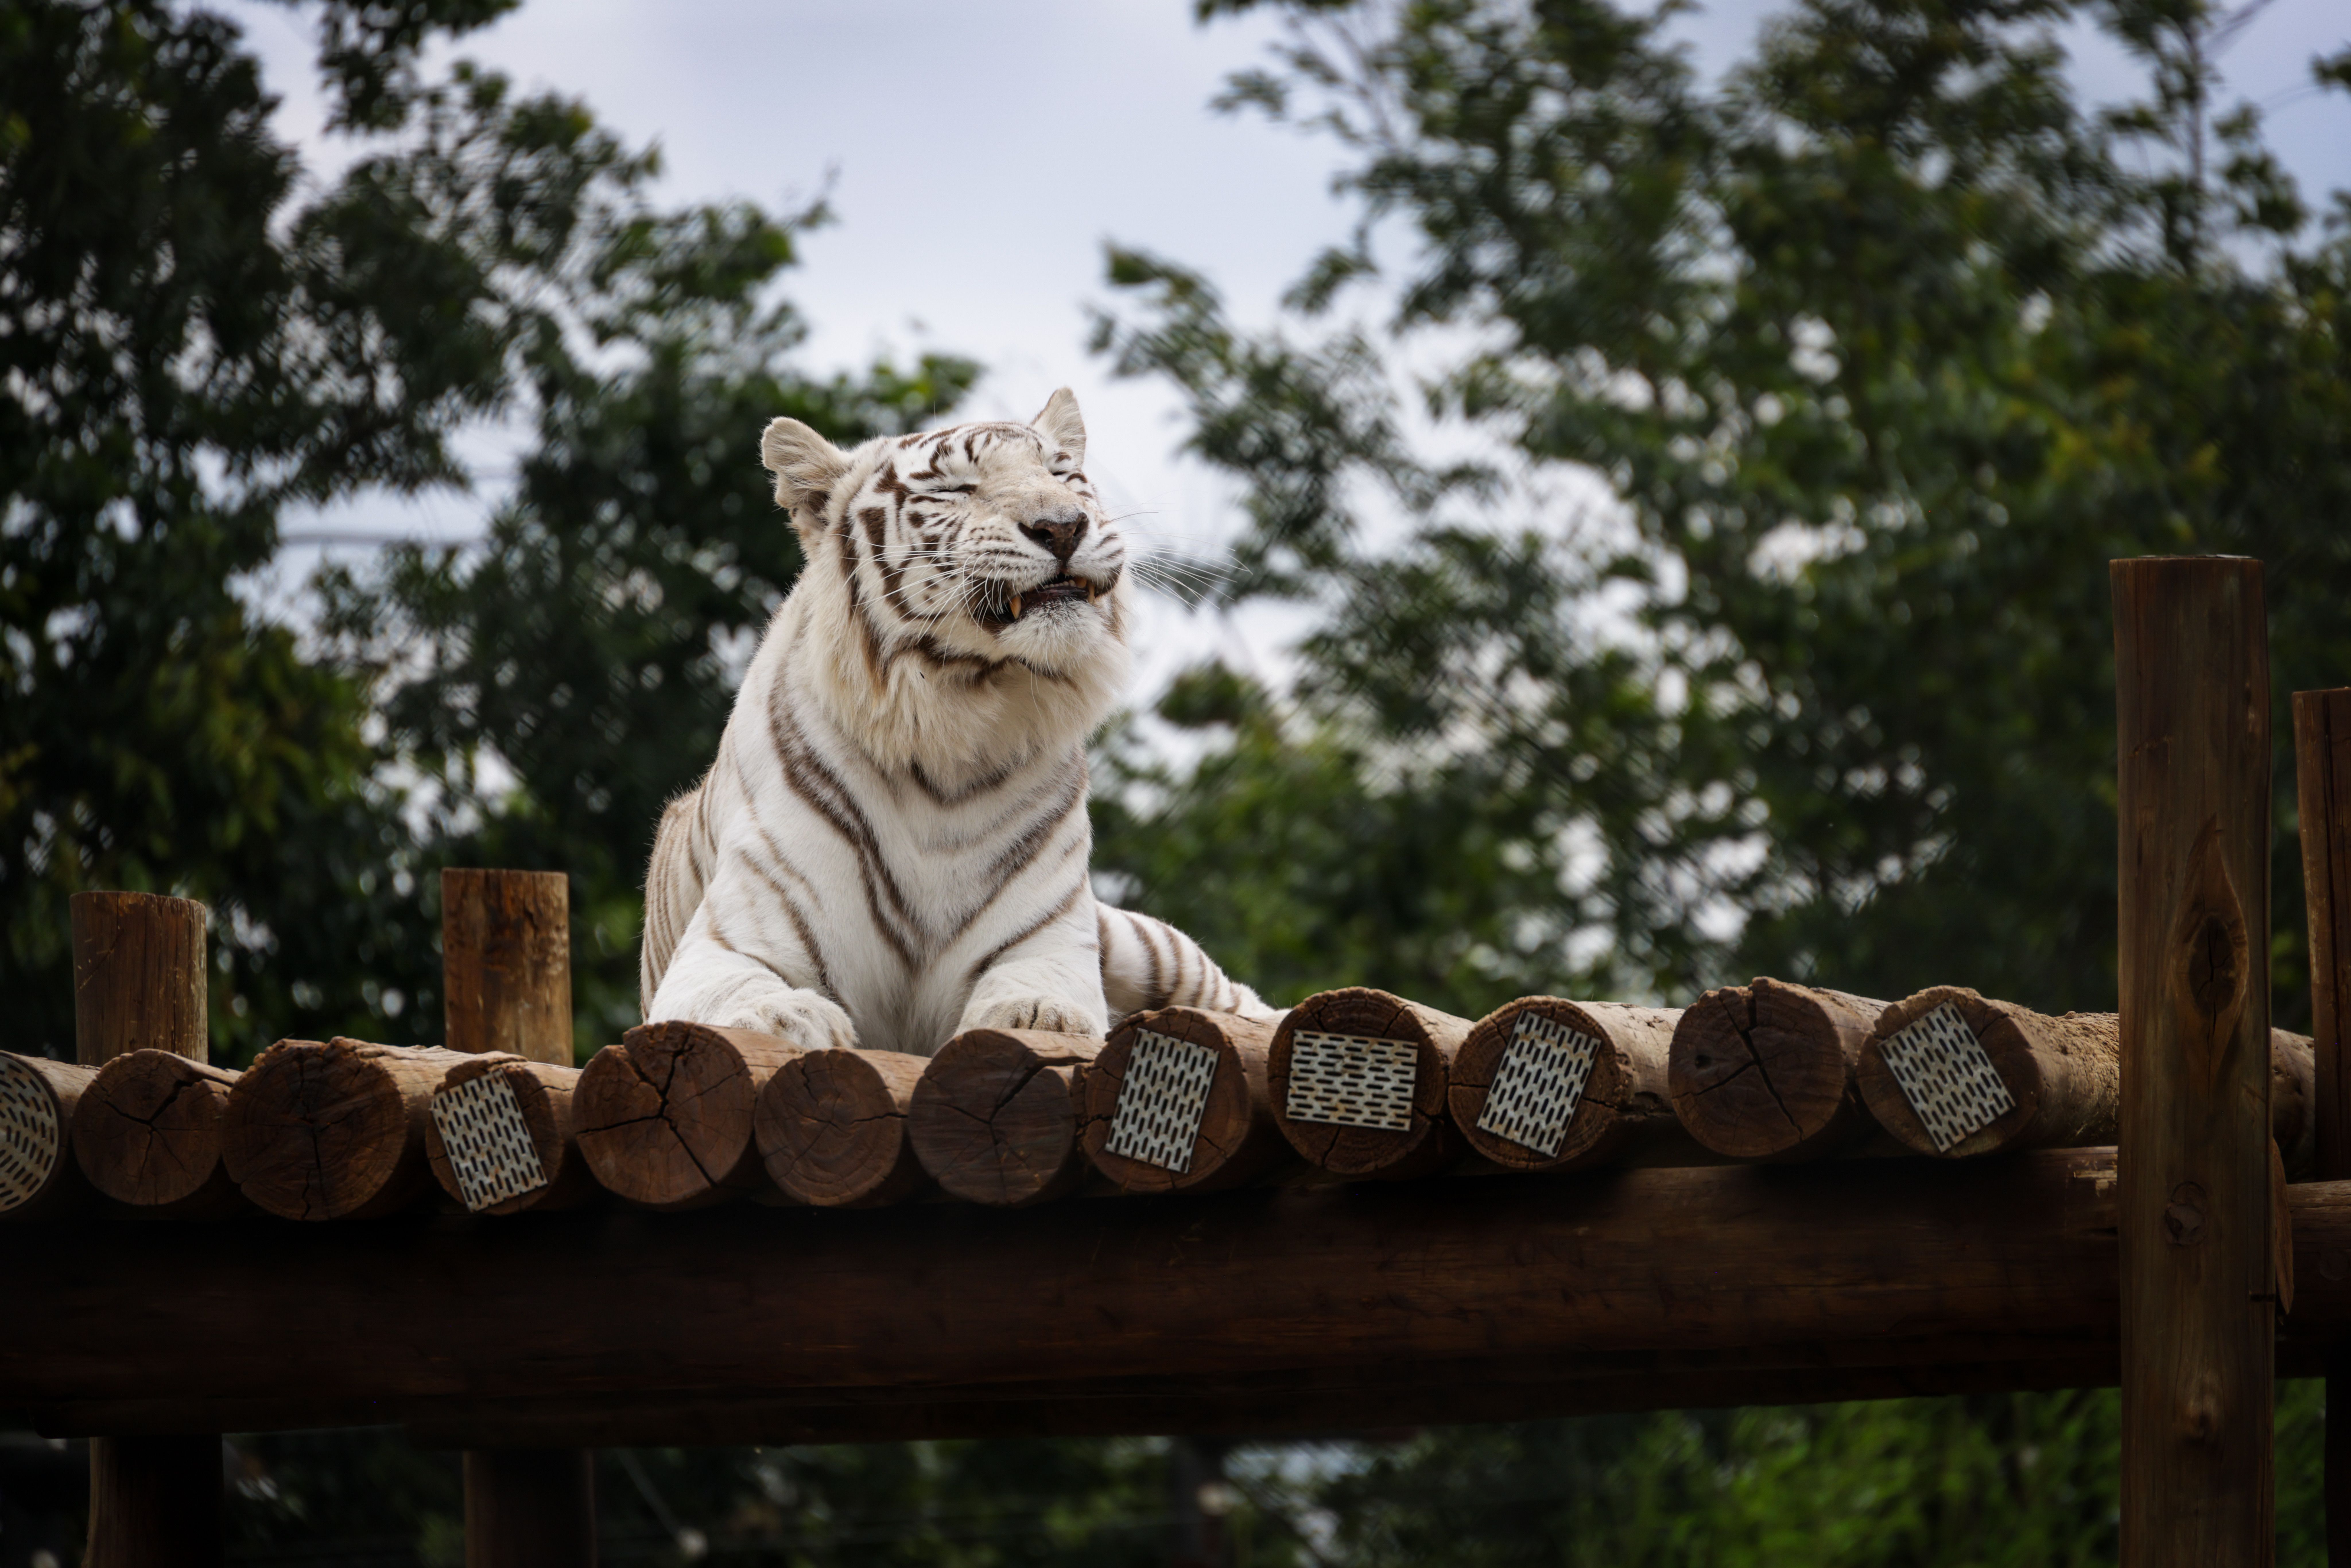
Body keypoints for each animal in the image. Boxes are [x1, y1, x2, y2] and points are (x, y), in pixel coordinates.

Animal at [639, 387, 1277, 1055]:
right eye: (955, 489)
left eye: (1060, 473)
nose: (1063, 525)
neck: (956, 725)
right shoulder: (727, 943)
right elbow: (743, 1000)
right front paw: (788, 1015)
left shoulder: (1048, 937)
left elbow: (1040, 996)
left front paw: (1038, 1016)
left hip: (1138, 941)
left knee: (1237, 997)